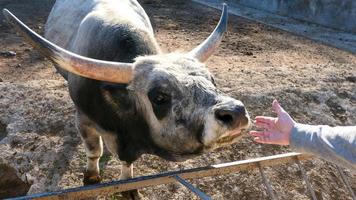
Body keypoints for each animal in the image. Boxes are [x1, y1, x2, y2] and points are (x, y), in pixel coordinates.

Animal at [4, 0, 252, 197]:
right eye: (159, 97)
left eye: (212, 79)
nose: (235, 112)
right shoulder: (84, 119)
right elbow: (94, 151)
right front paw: (91, 177)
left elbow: (127, 163)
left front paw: (128, 186)